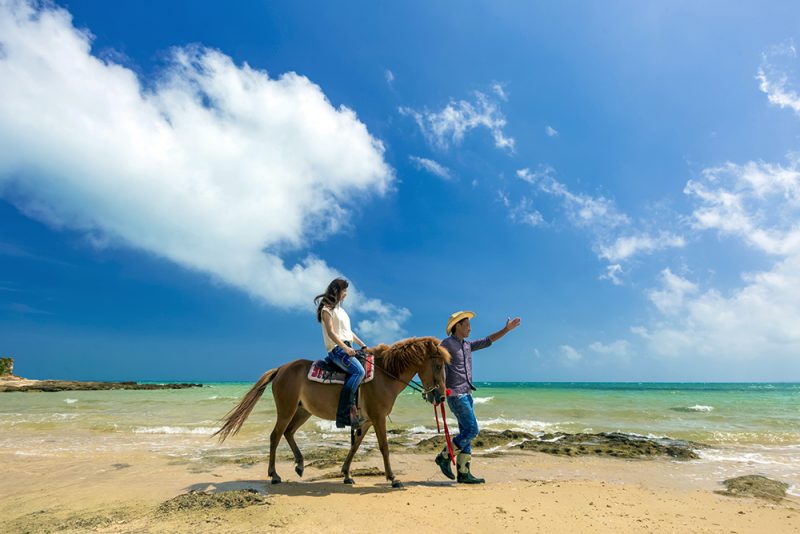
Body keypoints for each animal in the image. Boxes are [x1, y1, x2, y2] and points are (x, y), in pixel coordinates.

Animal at [214, 336, 450, 488]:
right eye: (438, 366)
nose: (441, 397)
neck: (385, 375)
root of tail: (281, 368)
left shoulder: (365, 421)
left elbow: (355, 446)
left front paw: (346, 474)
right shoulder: (378, 417)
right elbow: (384, 447)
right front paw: (392, 478)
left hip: (303, 411)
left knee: (289, 433)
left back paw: (300, 464)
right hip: (287, 409)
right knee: (275, 436)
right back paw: (274, 475)